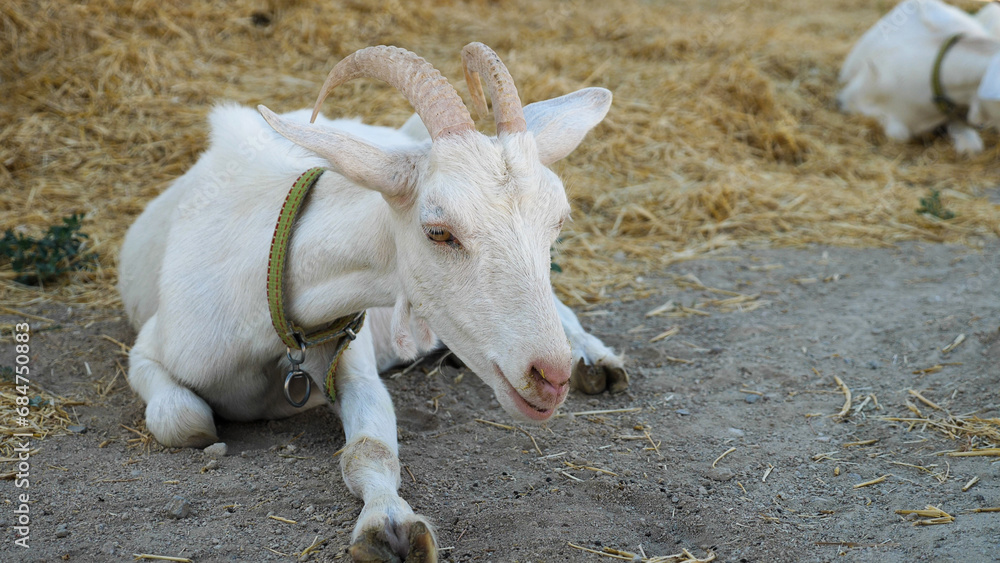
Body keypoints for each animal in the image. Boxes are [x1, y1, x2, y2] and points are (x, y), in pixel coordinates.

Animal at [118, 43, 621, 561]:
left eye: (558, 221)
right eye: (438, 231)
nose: (550, 377)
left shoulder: (350, 358)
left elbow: (370, 448)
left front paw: (390, 526)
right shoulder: (150, 349)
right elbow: (184, 420)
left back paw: (595, 361)